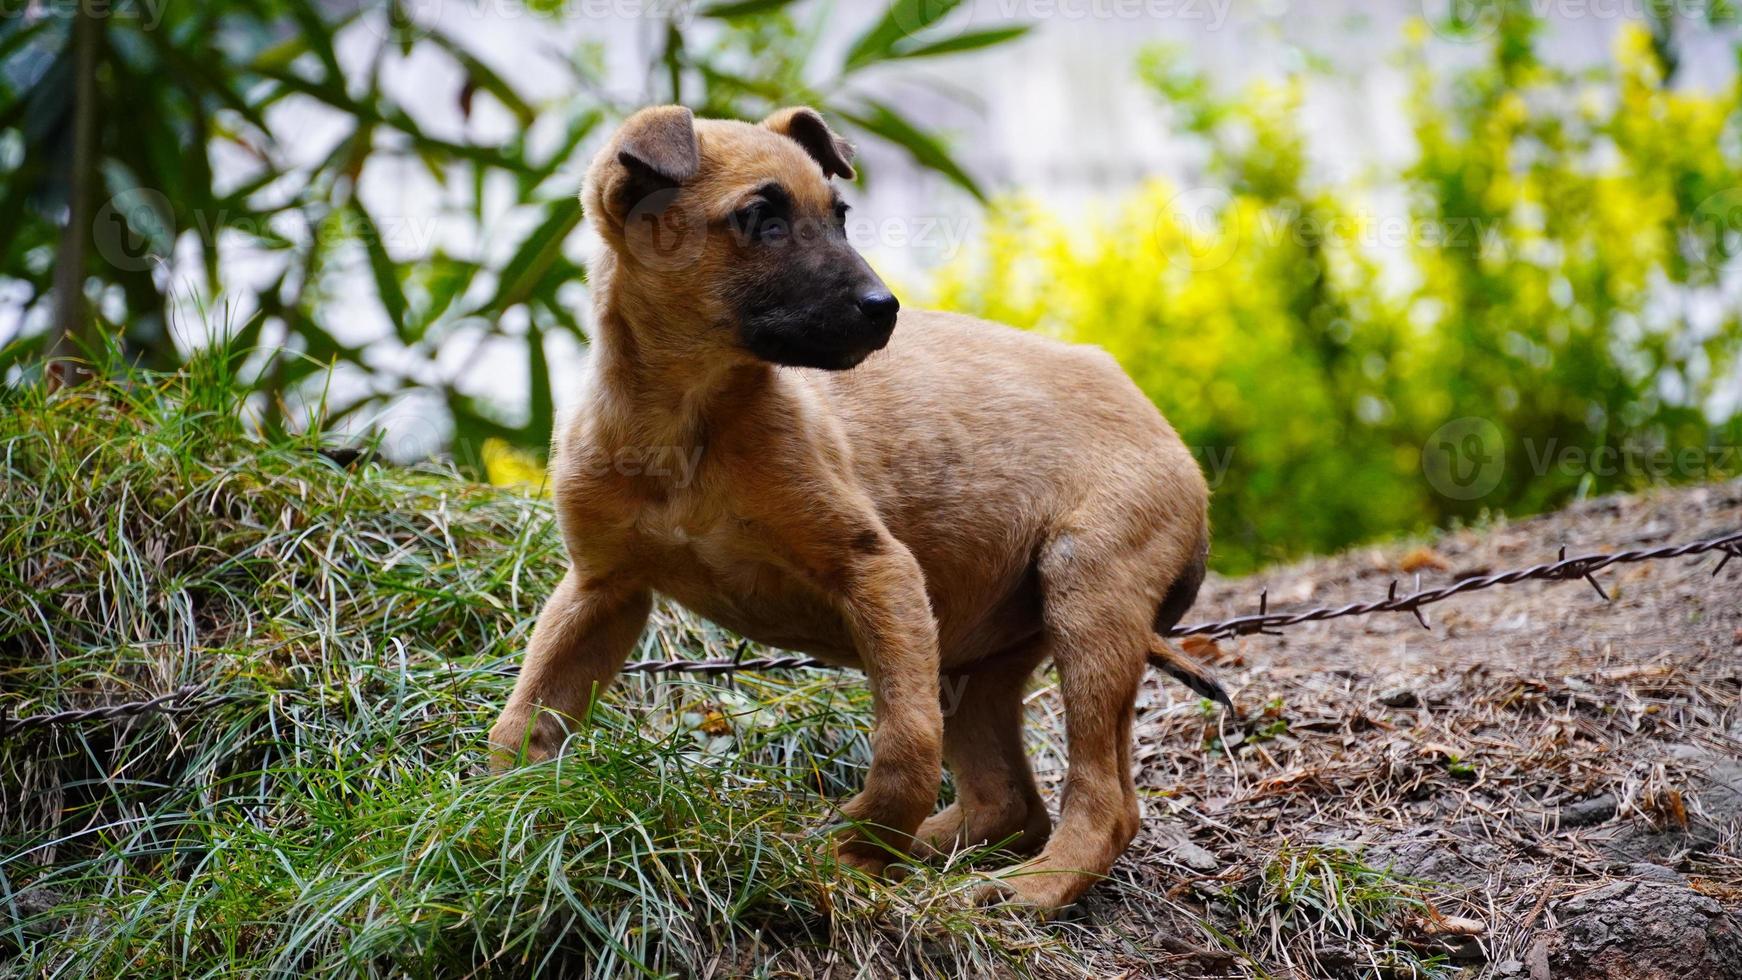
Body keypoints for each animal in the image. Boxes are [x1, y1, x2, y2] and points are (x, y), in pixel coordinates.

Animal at [491, 107, 1226, 912]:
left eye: (839, 217)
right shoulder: (603, 589)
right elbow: (524, 716)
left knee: (1105, 800)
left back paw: (1027, 887)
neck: (687, 420)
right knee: (1009, 803)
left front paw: (862, 849)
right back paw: (919, 853)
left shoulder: (876, 570)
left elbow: (904, 740)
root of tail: (1161, 426)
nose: (886, 310)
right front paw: (505, 814)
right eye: (761, 218)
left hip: (1087, 591)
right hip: (980, 657)